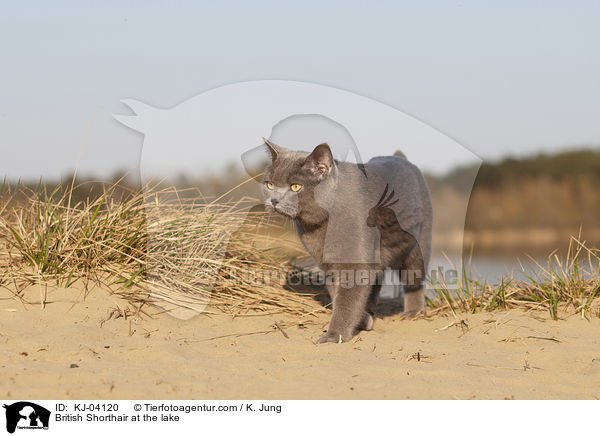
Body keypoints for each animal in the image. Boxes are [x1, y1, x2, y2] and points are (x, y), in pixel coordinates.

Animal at [262, 140, 432, 344]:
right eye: (269, 184)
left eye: (296, 186)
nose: (274, 200)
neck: (322, 225)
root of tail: (399, 157)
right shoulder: (328, 263)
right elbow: (339, 295)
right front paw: (362, 319)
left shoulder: (354, 262)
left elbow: (347, 300)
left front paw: (334, 335)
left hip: (417, 244)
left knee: (414, 279)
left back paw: (413, 311)